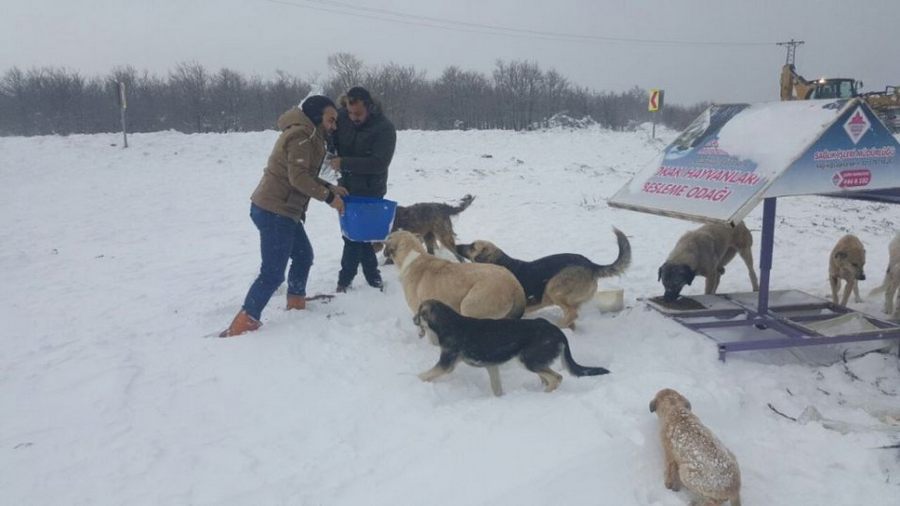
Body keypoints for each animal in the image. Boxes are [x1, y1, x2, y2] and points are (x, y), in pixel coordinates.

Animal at [412, 300, 608, 396]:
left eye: (419, 314)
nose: (412, 319)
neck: (449, 322)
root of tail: (558, 332)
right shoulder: (491, 366)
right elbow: (497, 389)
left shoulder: (446, 364)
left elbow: (423, 375)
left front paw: (412, 381)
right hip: (536, 363)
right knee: (549, 378)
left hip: (528, 361)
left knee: (557, 378)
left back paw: (543, 396)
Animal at [454, 228, 628, 328]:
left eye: (472, 246)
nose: (455, 246)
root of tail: (591, 265)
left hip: (553, 287)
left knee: (572, 313)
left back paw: (559, 325)